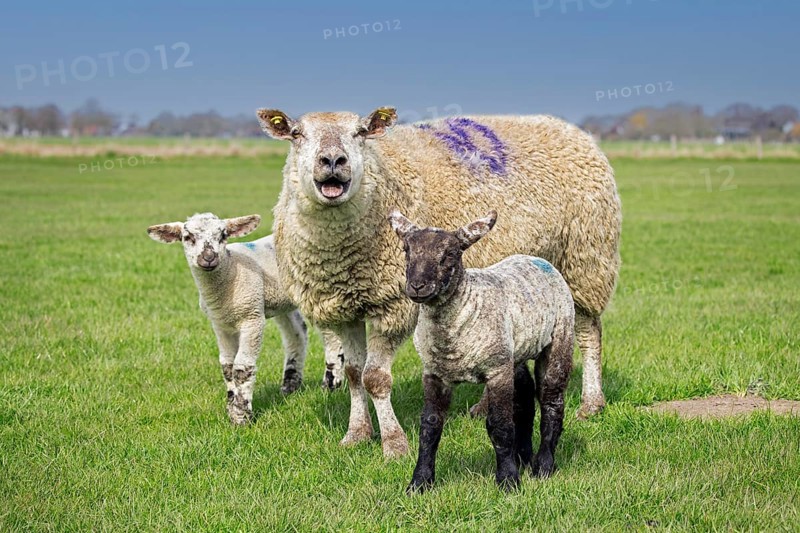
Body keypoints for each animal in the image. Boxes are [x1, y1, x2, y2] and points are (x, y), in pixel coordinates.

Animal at [147, 212, 345, 425]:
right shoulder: (220, 323)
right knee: (297, 333)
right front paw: (231, 406)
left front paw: (242, 416)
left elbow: (242, 367)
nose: (208, 258)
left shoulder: (252, 317)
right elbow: (227, 366)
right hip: (282, 301)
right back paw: (289, 386)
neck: (230, 271)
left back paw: (331, 385)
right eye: (187, 237)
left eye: (223, 235)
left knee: (332, 338)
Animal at [257, 107, 620, 457]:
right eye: (296, 134)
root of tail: (570, 129)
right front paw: (356, 434)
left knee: (589, 333)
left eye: (360, 132)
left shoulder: (393, 307)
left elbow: (375, 378)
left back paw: (591, 404)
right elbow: (353, 375)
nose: (333, 160)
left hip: (585, 261)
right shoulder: (343, 310)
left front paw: (394, 444)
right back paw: (483, 407)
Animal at [389, 209, 574, 492]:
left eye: (450, 254)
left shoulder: (496, 371)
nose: (418, 286)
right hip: (513, 353)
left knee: (552, 400)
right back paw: (524, 457)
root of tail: (539, 260)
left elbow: (499, 425)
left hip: (559, 337)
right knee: (524, 399)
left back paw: (543, 465)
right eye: (406, 250)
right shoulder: (434, 373)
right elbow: (430, 426)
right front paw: (419, 483)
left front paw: (508, 481)